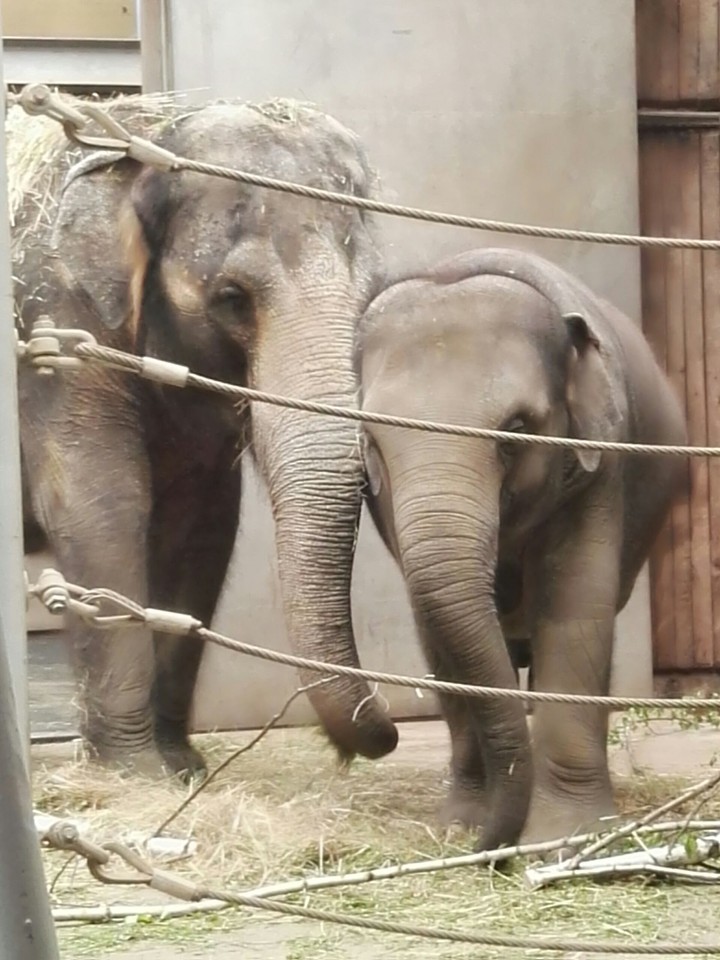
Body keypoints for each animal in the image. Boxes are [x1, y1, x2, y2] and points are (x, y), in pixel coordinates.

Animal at [16, 99, 399, 778]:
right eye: (231, 298)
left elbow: (202, 523)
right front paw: (137, 774)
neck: (147, 134)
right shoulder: (56, 331)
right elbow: (104, 507)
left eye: (374, 296)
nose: (387, 727)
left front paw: (182, 766)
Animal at [355, 247, 687, 849]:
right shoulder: (386, 505)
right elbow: (435, 631)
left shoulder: (601, 462)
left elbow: (574, 609)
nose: (491, 848)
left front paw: (562, 836)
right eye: (372, 439)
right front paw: (461, 827)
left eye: (516, 427)